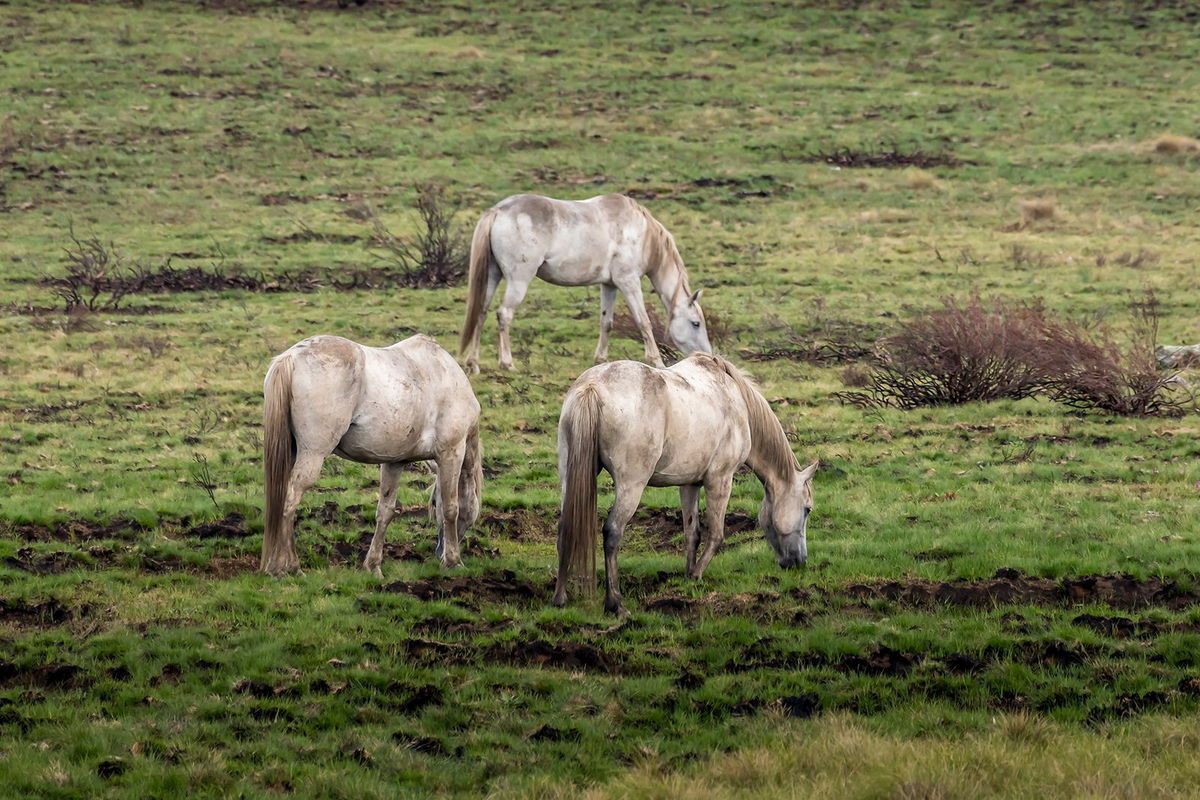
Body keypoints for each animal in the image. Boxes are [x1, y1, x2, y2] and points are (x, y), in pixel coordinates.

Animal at [262, 335, 482, 578]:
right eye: (432, 504)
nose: (439, 551)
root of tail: (292, 357)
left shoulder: (394, 462)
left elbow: (385, 512)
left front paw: (373, 565)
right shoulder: (451, 453)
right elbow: (452, 507)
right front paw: (454, 561)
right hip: (313, 455)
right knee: (290, 501)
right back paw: (287, 566)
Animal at [453, 194, 705, 371]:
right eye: (695, 323)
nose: (706, 356)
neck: (641, 234)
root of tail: (498, 210)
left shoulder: (609, 285)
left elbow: (607, 322)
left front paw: (600, 359)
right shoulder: (628, 282)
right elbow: (643, 322)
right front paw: (657, 361)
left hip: (492, 276)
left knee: (481, 312)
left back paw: (473, 363)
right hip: (519, 279)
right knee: (504, 314)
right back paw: (507, 363)